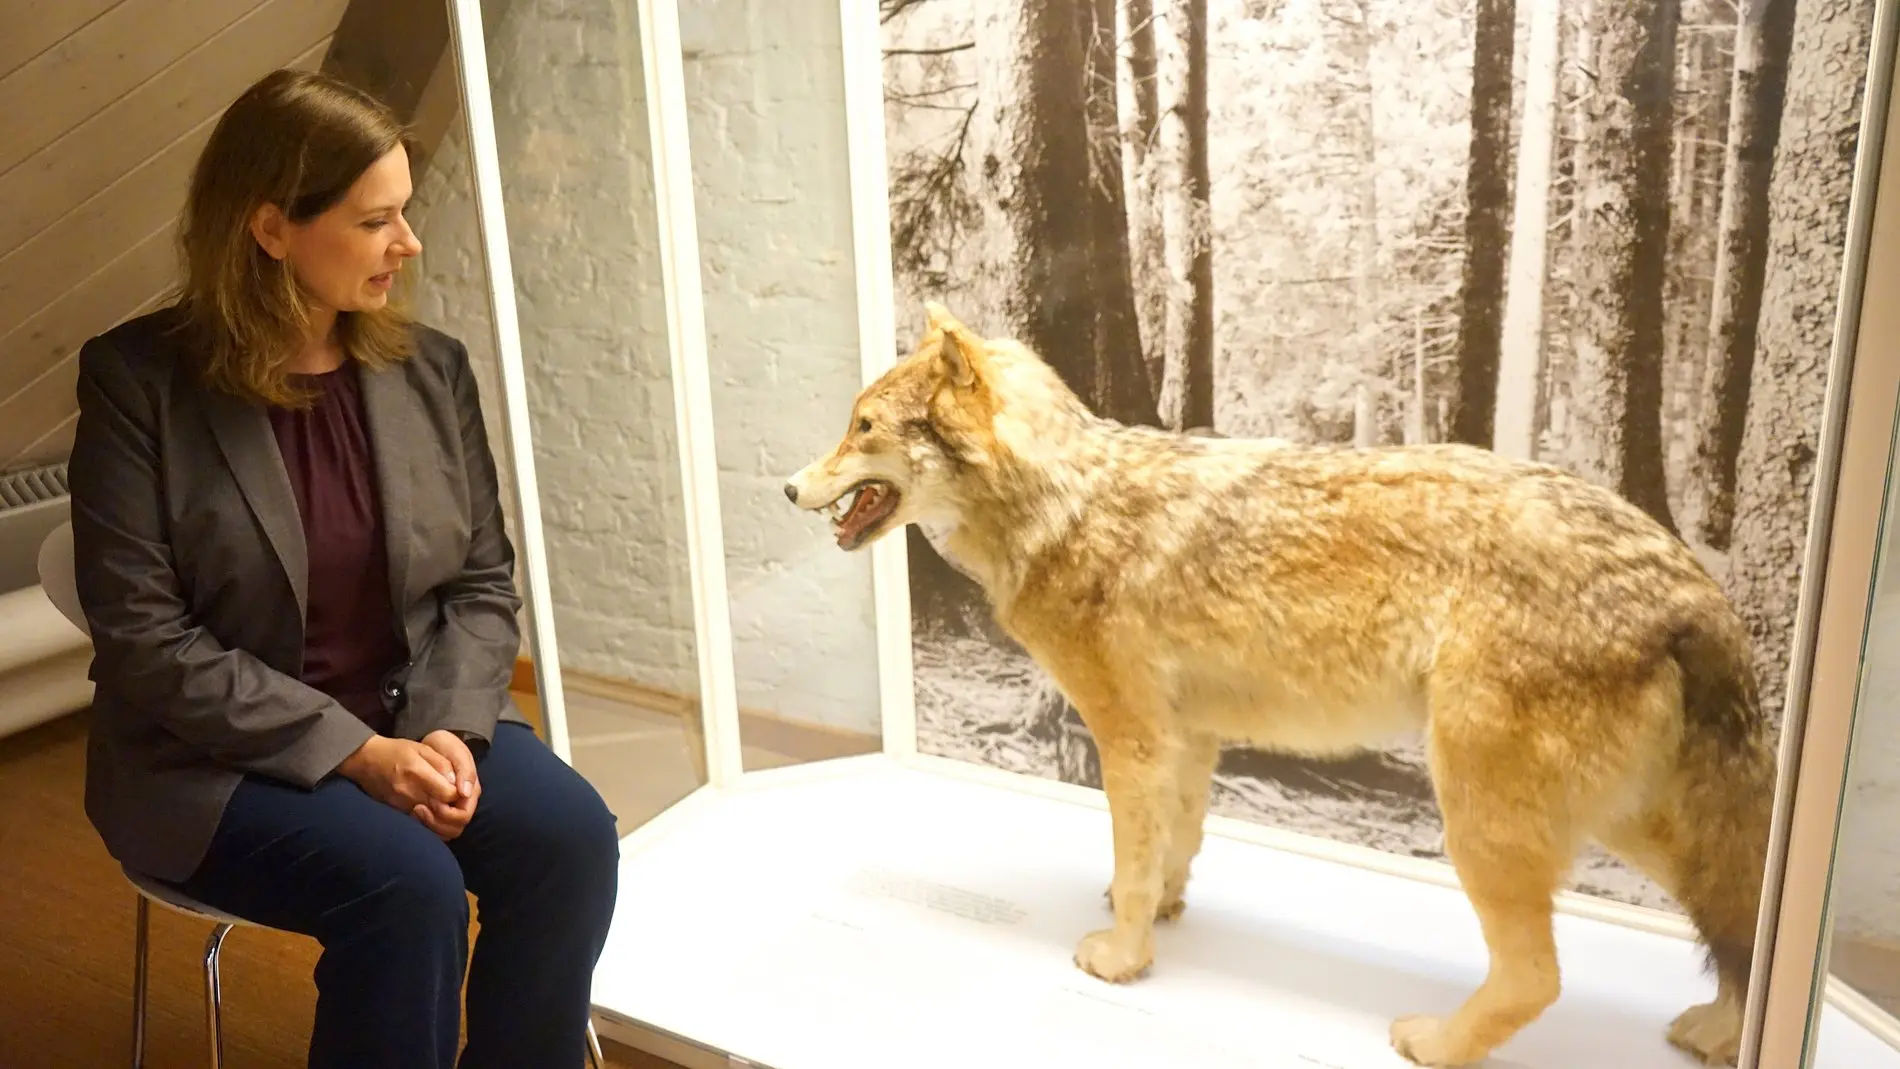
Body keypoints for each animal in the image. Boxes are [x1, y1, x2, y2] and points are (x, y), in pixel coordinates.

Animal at [783, 302, 1775, 1067]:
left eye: (861, 429)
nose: (788, 487)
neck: (1065, 504)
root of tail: (1691, 578)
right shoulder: (1189, 737)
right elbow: (1173, 845)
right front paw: (1165, 913)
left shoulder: (1130, 735)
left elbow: (1134, 863)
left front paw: (1122, 958)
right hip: (1636, 824)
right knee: (1738, 920)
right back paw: (1722, 1033)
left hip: (1485, 820)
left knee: (1540, 974)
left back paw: (1434, 1041)